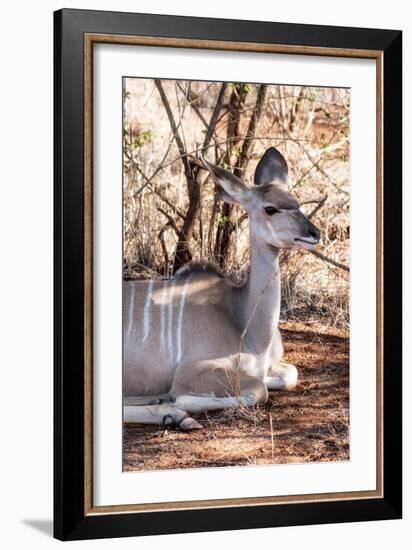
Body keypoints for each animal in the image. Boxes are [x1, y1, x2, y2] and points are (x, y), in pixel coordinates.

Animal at [124, 147, 320, 432]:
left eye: (298, 203)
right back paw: (175, 413)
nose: (314, 233)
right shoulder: (192, 371)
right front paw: (178, 401)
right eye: (270, 209)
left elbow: (287, 375)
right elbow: (258, 389)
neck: (245, 321)